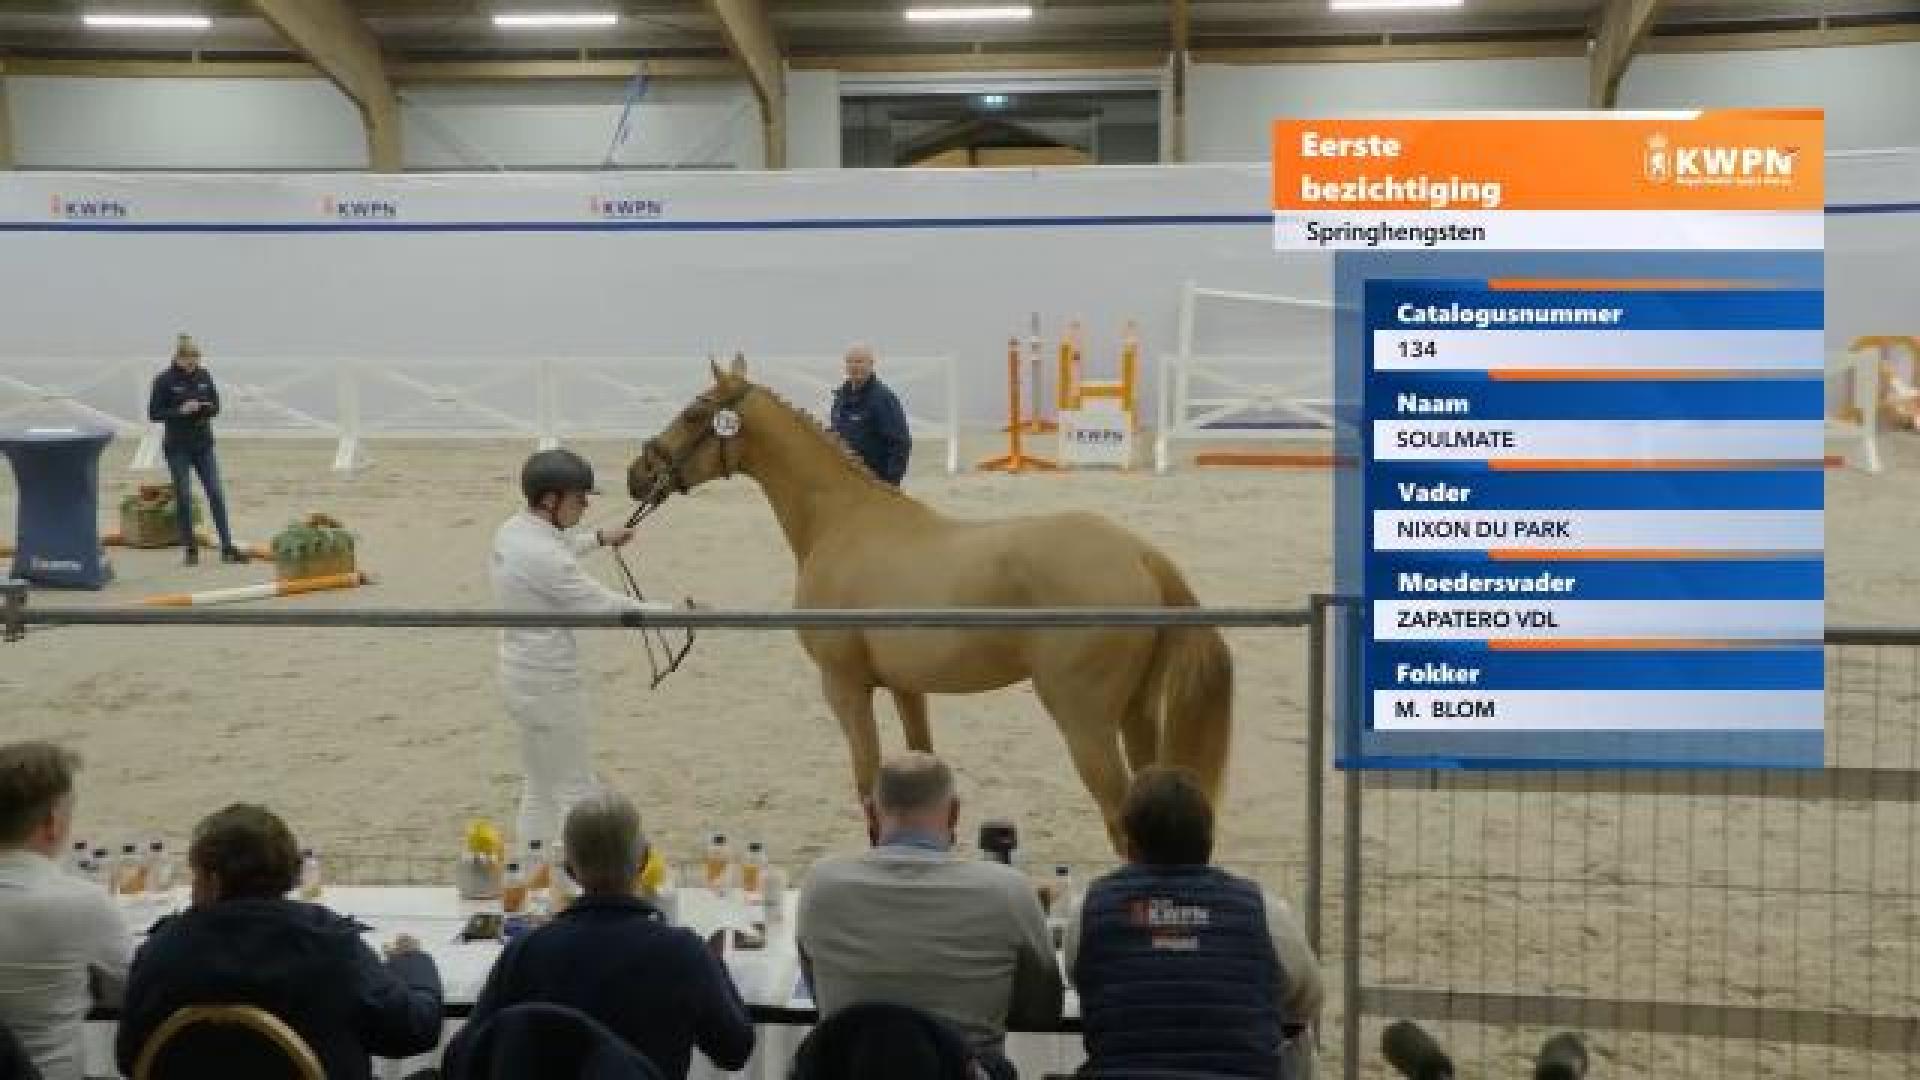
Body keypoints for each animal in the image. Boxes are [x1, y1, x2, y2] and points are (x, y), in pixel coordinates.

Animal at [626, 355, 1232, 854]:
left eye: (693, 413)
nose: (638, 474)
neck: (845, 522)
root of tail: (1142, 554)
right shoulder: (906, 687)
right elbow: (922, 763)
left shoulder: (845, 687)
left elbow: (868, 782)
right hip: (1136, 714)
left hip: (1085, 722)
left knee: (1120, 820)